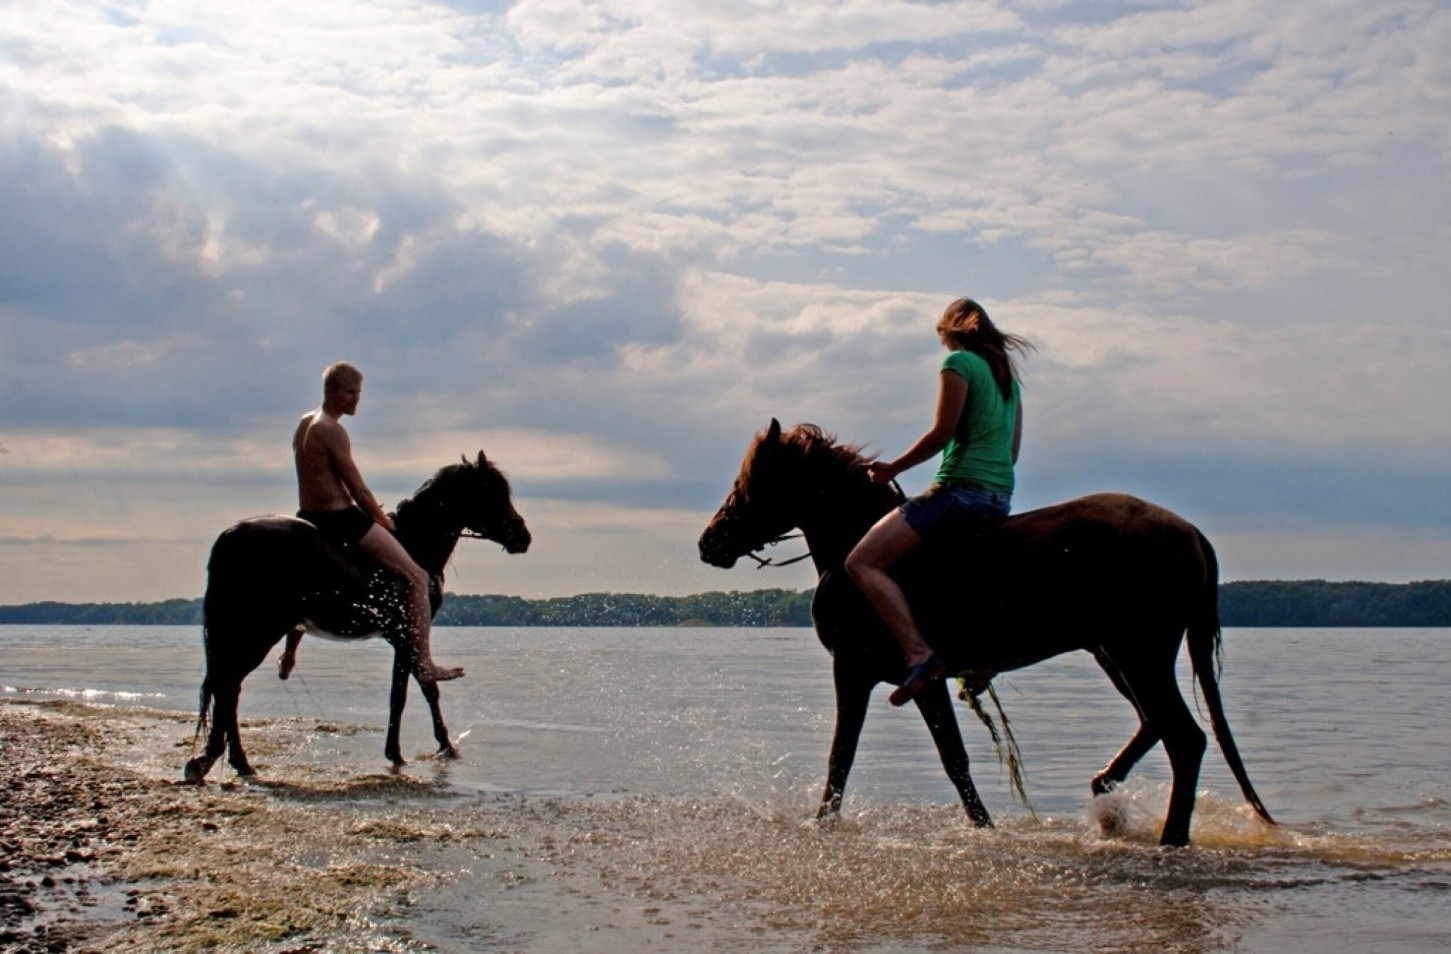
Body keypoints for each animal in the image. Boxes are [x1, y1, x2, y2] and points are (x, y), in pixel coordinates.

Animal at [184, 453, 531, 784]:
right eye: (491, 490)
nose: (523, 536)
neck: (415, 543)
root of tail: (232, 534)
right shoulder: (407, 633)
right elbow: (411, 692)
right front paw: (424, 750)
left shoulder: (402, 636)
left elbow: (410, 690)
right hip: (259, 630)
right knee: (228, 687)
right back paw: (228, 760)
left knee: (226, 687)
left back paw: (221, 761)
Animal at [696, 421, 1276, 842]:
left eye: (749, 482)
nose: (709, 542)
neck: (851, 548)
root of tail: (1190, 532)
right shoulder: (916, 682)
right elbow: (950, 760)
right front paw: (986, 827)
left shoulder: (864, 672)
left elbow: (852, 756)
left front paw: (823, 824)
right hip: (1114, 654)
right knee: (1155, 724)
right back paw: (1107, 793)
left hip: (1138, 652)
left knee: (1185, 738)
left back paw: (1171, 838)